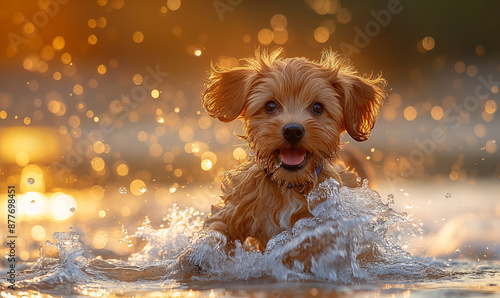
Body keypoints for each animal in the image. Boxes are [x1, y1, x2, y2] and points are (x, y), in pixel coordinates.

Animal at [180, 49, 386, 270]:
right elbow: (217, 230)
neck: (288, 186)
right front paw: (197, 256)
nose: (293, 130)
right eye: (270, 105)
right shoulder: (234, 208)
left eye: (318, 107)